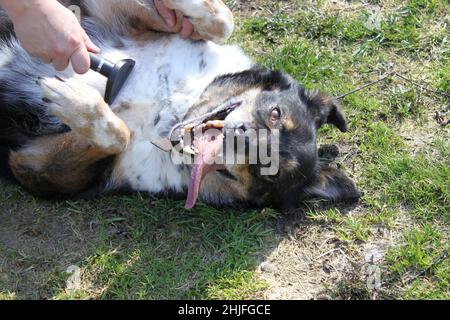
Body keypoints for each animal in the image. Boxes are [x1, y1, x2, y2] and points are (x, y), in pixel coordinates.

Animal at [0, 0, 360, 210]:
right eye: (276, 113)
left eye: (271, 172)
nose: (240, 138)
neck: (172, 105)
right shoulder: (116, 17)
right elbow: (223, 19)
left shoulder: (37, 166)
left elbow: (118, 134)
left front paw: (73, 99)